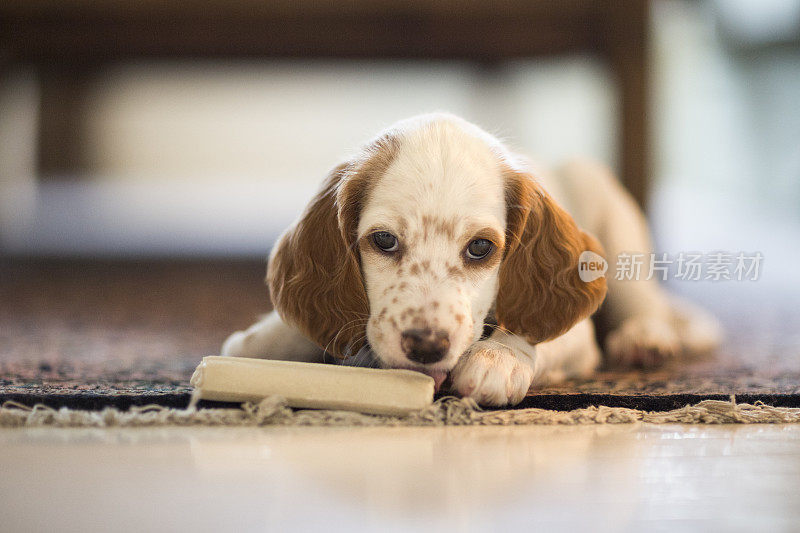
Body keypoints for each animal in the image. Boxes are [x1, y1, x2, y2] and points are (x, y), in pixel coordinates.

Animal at [222, 112, 720, 404]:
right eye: (383, 241)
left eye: (480, 248)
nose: (426, 347)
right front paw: (263, 340)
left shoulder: (576, 336)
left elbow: (531, 331)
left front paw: (497, 360)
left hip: (613, 224)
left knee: (645, 303)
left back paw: (644, 338)